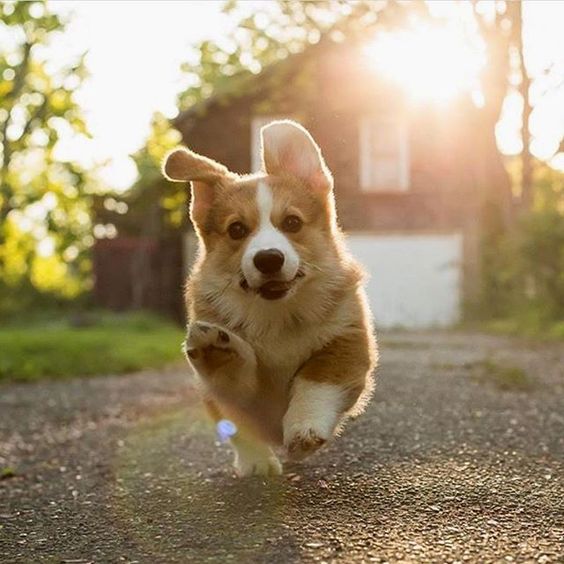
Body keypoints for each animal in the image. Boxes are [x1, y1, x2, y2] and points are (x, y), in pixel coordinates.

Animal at [161, 120, 376, 476]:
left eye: (292, 222)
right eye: (236, 229)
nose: (269, 259)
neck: (275, 314)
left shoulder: (347, 342)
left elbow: (316, 379)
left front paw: (304, 428)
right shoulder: (223, 394)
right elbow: (239, 415)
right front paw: (257, 463)